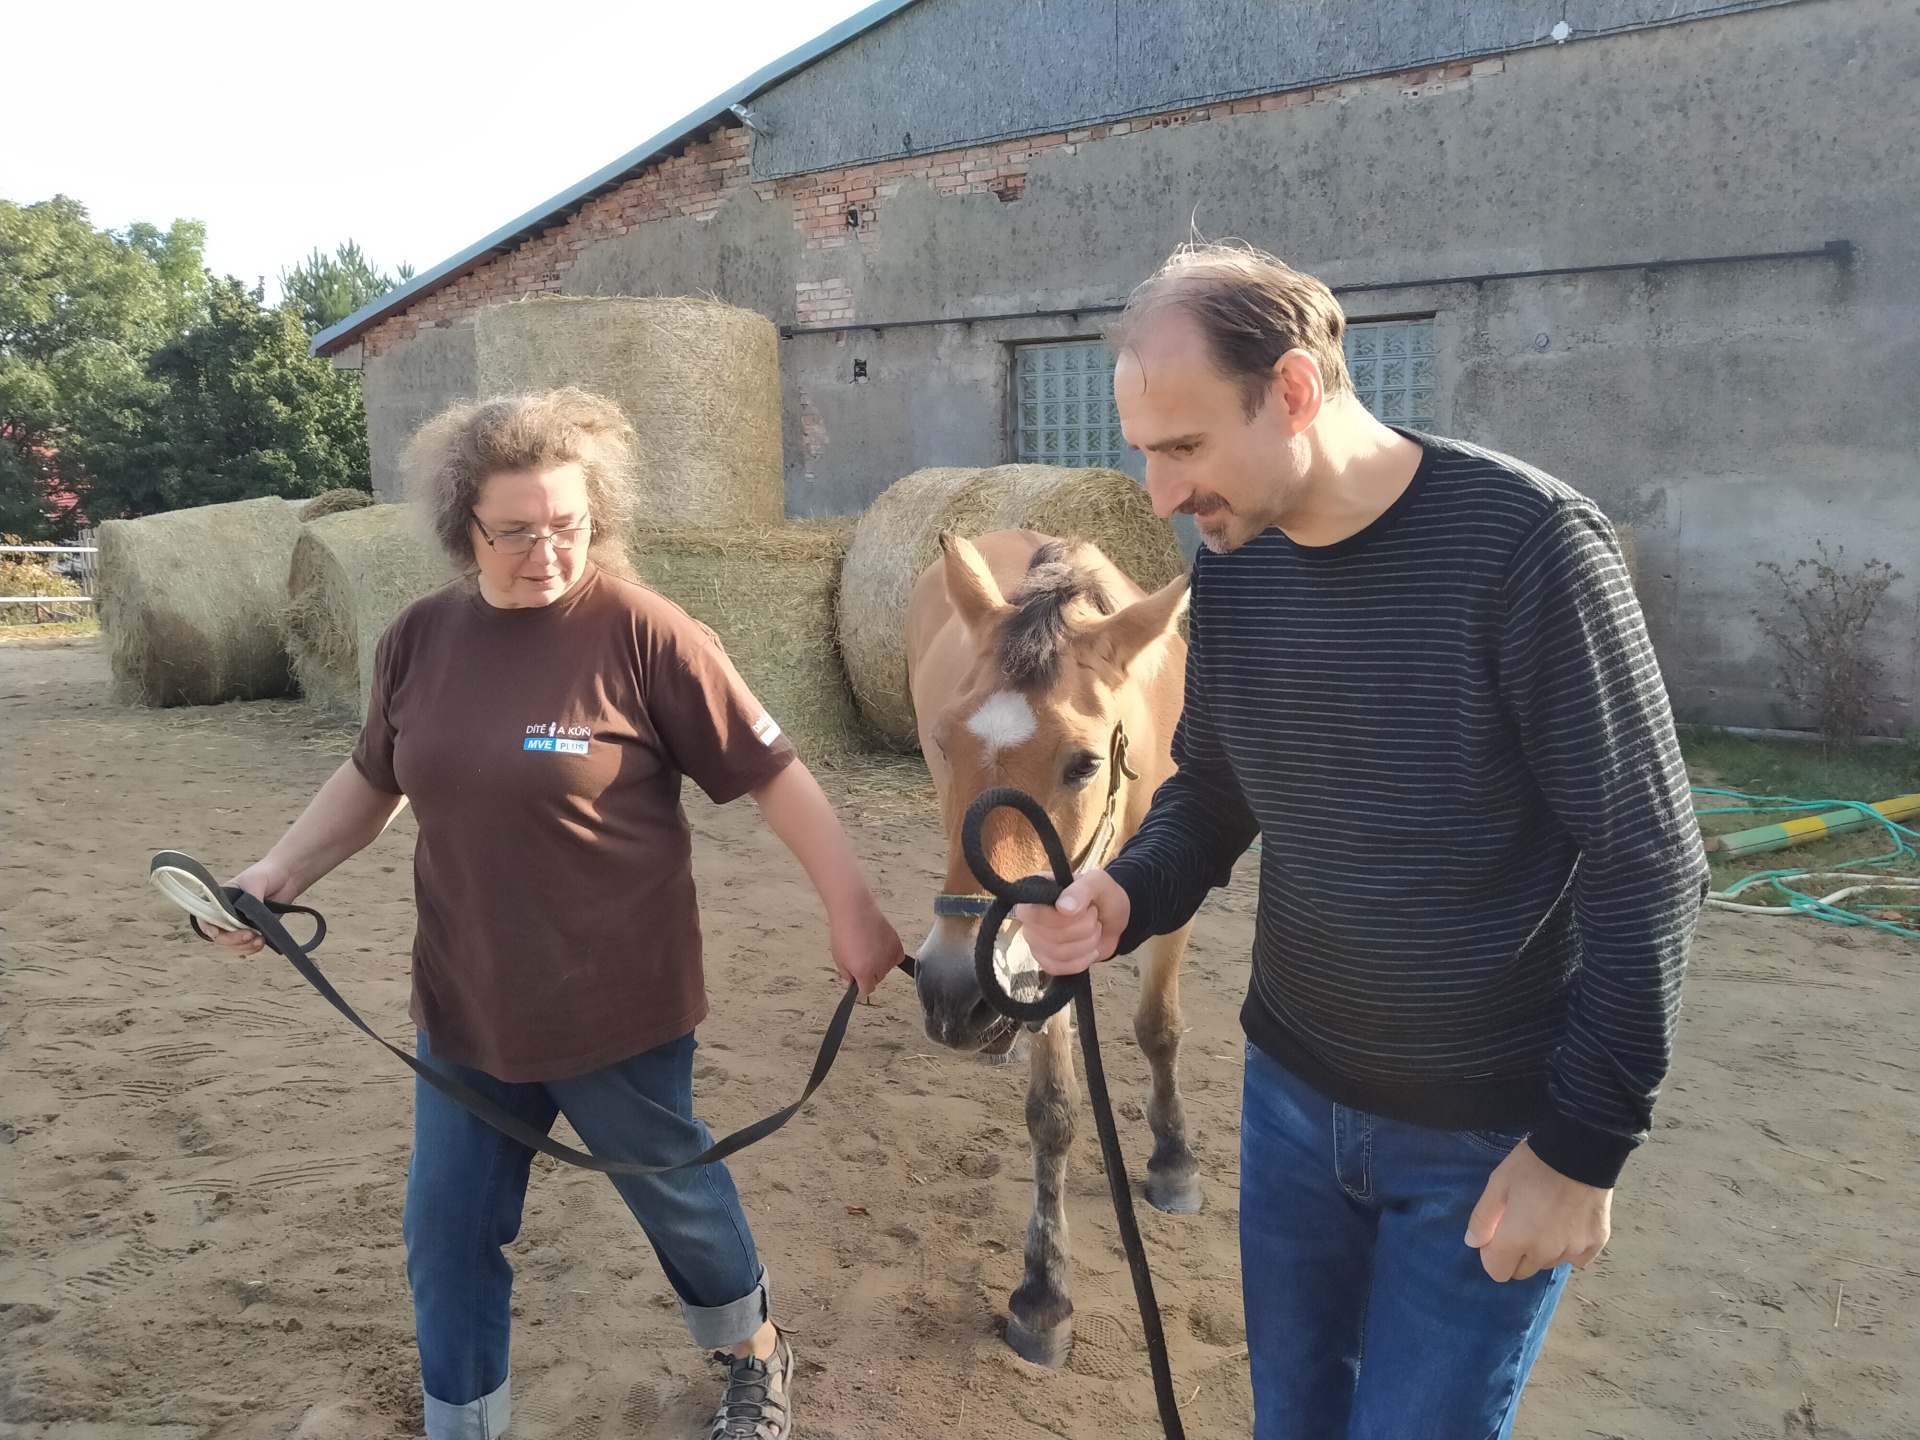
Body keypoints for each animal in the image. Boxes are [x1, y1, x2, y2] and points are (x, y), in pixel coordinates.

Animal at [906, 529, 1199, 1367]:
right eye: (945, 743)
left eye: (1084, 763)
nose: (952, 992)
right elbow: (1054, 1112)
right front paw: (1043, 1293)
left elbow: (1160, 1028)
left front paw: (1173, 1160)